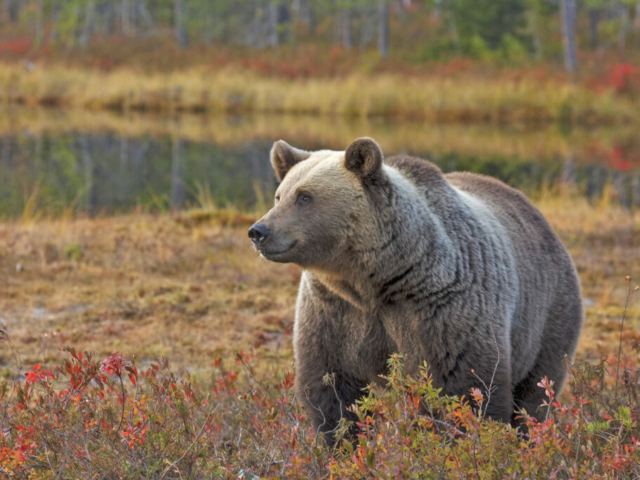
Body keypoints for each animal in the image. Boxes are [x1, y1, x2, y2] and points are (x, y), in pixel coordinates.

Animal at [248, 137, 583, 440]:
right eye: (279, 195)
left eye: (305, 197)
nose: (259, 231)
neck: (375, 278)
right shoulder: (334, 310)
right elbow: (330, 386)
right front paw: (342, 442)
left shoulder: (442, 308)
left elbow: (466, 387)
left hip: (547, 315)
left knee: (534, 394)